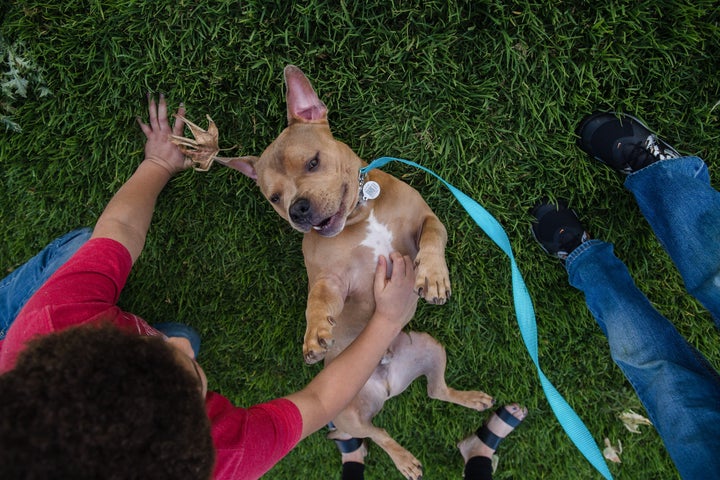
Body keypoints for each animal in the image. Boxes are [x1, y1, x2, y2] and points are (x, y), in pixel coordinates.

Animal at [173, 65, 496, 478]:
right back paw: (403, 459)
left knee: (436, 390)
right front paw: (314, 334)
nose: (298, 209)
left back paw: (471, 399)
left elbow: (433, 238)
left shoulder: (427, 217)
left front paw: (434, 276)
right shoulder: (331, 279)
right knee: (378, 433)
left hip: (431, 347)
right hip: (347, 414)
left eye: (312, 162)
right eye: (273, 198)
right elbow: (319, 298)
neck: (361, 212)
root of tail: (387, 381)